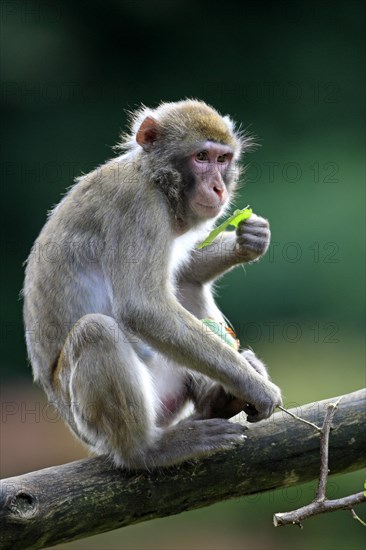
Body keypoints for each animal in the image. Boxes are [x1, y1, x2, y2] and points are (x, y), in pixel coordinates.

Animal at [22, 100, 282, 470]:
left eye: (222, 159)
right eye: (201, 156)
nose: (218, 188)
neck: (154, 178)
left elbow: (184, 273)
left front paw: (248, 240)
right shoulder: (137, 204)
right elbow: (142, 307)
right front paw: (256, 386)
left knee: (187, 285)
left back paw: (217, 401)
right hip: (91, 422)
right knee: (96, 330)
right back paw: (147, 449)